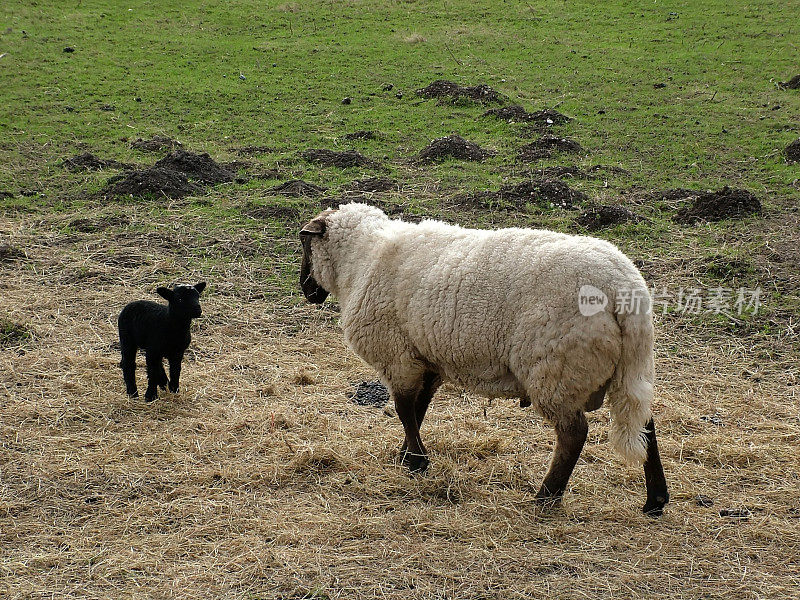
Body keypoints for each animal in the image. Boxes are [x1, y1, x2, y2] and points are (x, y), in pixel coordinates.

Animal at [300, 204, 668, 512]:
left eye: (305, 245)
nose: (306, 290)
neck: (362, 259)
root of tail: (623, 286)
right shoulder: (427, 358)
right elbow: (419, 408)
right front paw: (408, 454)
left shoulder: (398, 356)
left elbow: (405, 409)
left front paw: (417, 461)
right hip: (624, 368)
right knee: (643, 422)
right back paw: (655, 500)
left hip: (556, 368)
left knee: (574, 435)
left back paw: (545, 498)